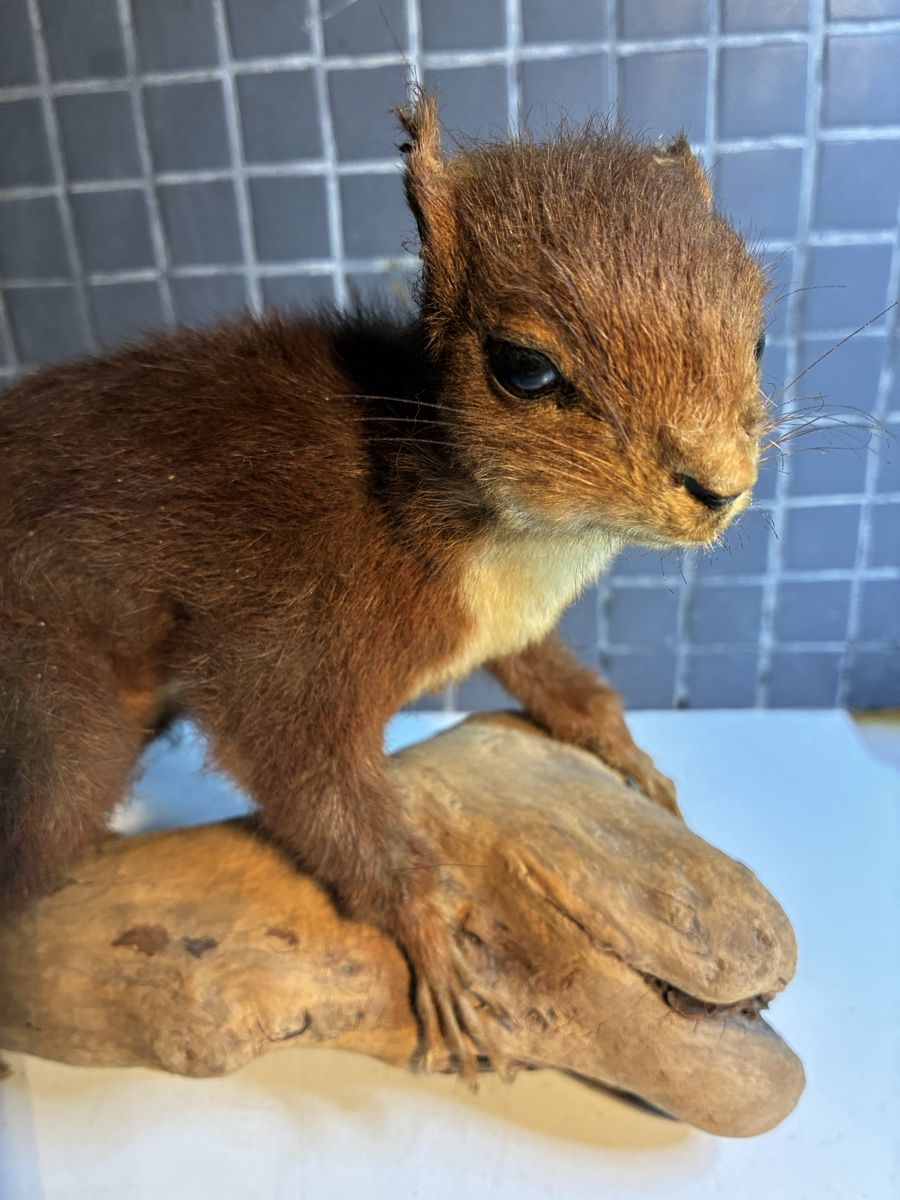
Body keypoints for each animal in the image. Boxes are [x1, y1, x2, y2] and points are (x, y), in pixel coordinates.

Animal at [0, 90, 767, 1077]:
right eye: (524, 367)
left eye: (760, 333)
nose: (721, 488)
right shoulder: (281, 648)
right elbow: (316, 786)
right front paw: (432, 946)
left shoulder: (508, 626)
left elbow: (558, 681)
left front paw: (628, 759)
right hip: (53, 712)